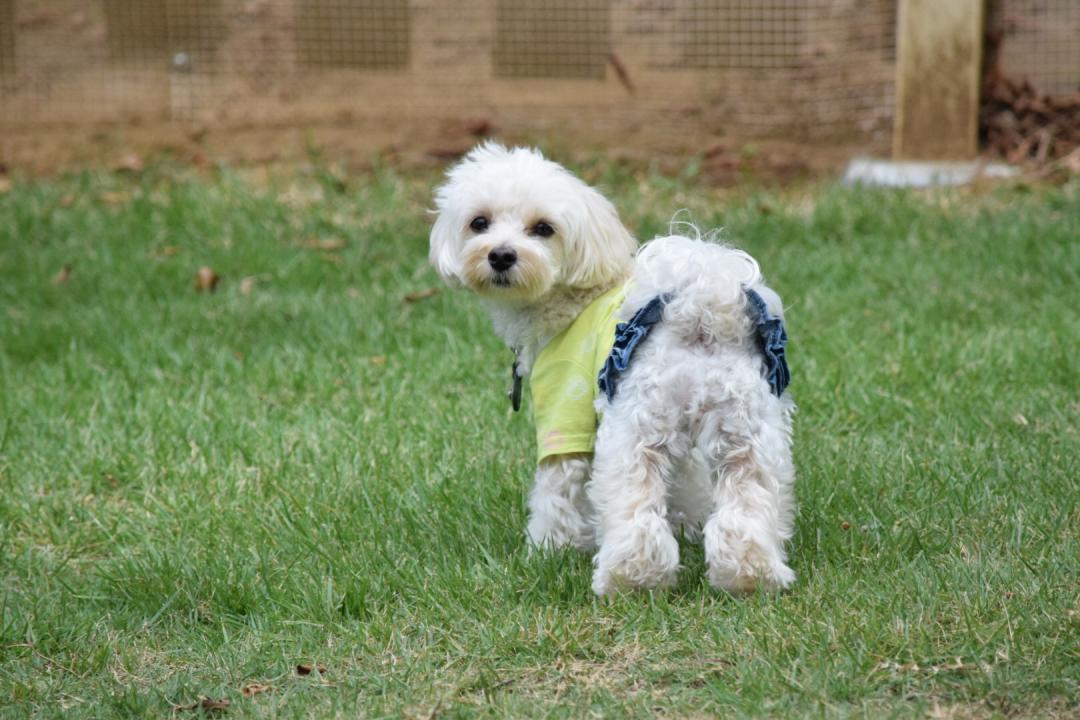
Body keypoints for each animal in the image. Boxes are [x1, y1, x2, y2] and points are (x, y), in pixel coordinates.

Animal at [427, 142, 794, 595]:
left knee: (634, 507)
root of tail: (699, 308)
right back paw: (750, 576)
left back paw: (631, 578)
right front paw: (688, 526)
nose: (500, 255)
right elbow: (687, 482)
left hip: (633, 430)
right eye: (479, 222)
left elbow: (558, 490)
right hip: (747, 429)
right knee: (747, 502)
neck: (573, 298)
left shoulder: (563, 413)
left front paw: (547, 550)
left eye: (543, 229)